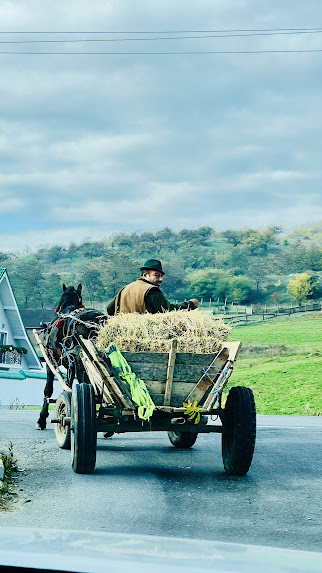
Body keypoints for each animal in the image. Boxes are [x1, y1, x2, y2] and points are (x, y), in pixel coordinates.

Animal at [36, 284, 107, 426]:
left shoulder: (51, 361)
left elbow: (48, 389)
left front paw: (42, 418)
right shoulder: (70, 365)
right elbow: (67, 386)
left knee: (86, 386)